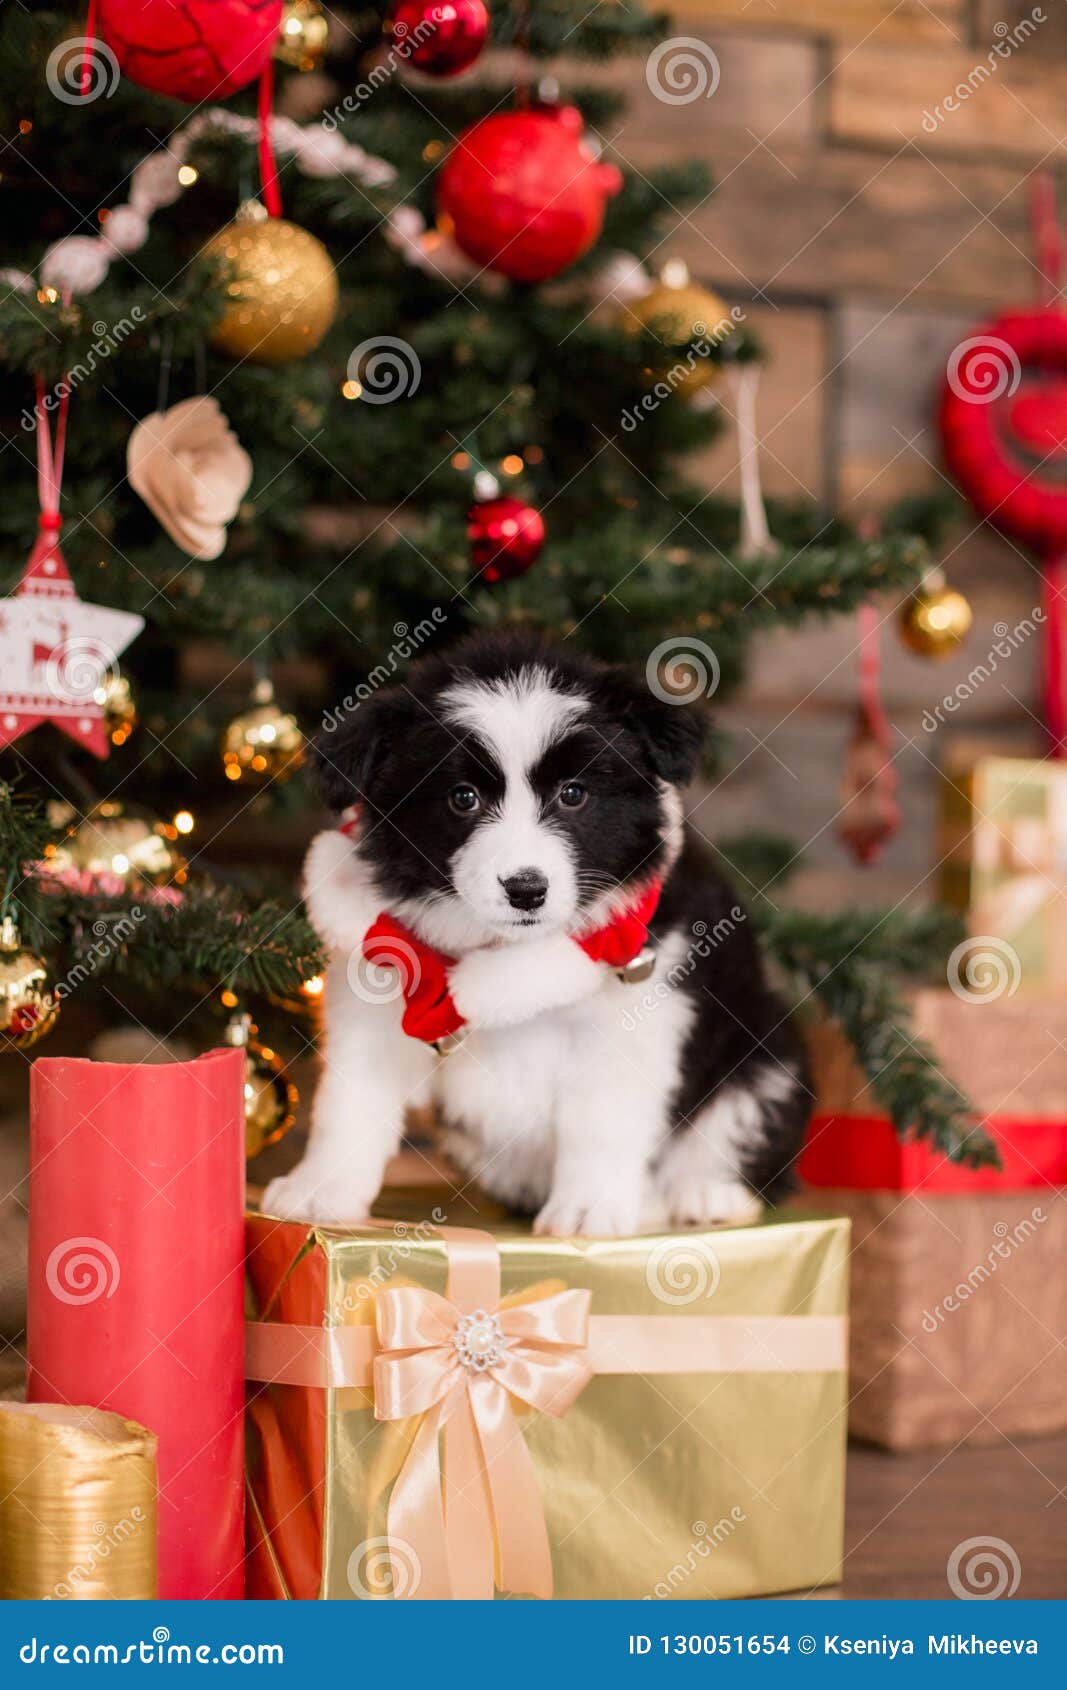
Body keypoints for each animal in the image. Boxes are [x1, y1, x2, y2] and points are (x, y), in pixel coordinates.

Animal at [265, 628, 808, 1237]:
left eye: (573, 793)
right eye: (463, 797)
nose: (526, 889)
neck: (509, 953)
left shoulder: (637, 1010)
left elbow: (601, 1122)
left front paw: (589, 1208)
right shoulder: (374, 1003)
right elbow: (349, 1103)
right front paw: (319, 1190)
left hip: (766, 1051)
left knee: (738, 1121)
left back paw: (704, 1193)